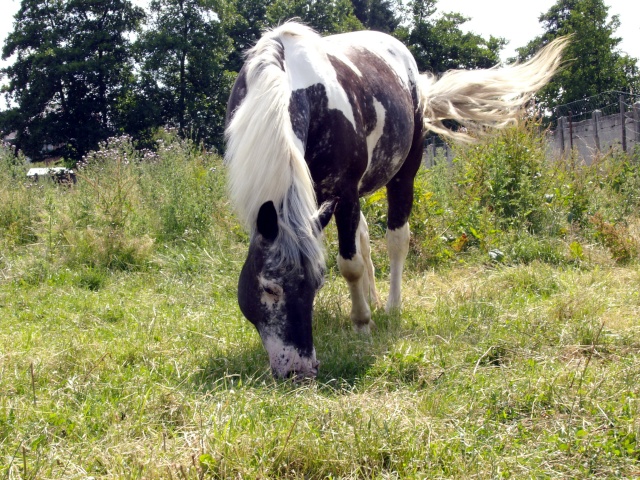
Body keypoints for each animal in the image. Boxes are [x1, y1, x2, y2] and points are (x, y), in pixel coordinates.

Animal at [224, 22, 564, 378]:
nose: (300, 369)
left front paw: (362, 324)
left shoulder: (344, 193)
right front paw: (362, 310)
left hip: (403, 175)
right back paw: (372, 298)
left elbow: (350, 265)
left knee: (396, 239)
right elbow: (355, 254)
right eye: (269, 287)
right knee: (364, 239)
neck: (287, 84)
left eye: (317, 285)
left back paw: (390, 306)